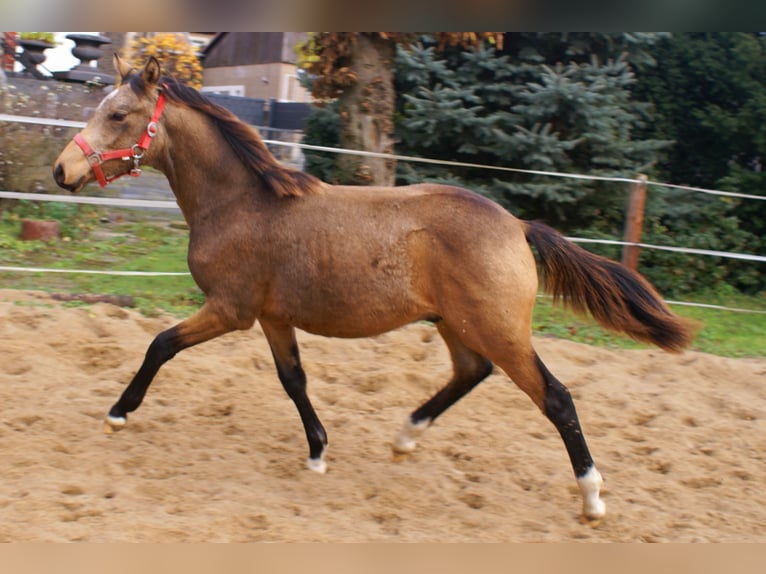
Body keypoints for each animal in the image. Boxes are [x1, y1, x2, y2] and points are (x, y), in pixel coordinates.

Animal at [51, 56, 692, 524]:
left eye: (119, 114)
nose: (62, 171)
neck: (238, 203)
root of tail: (517, 225)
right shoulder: (272, 317)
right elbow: (293, 380)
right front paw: (317, 453)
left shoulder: (230, 310)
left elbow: (160, 344)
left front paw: (117, 413)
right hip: (455, 324)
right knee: (471, 372)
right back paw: (406, 437)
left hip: (500, 329)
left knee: (555, 397)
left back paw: (592, 497)